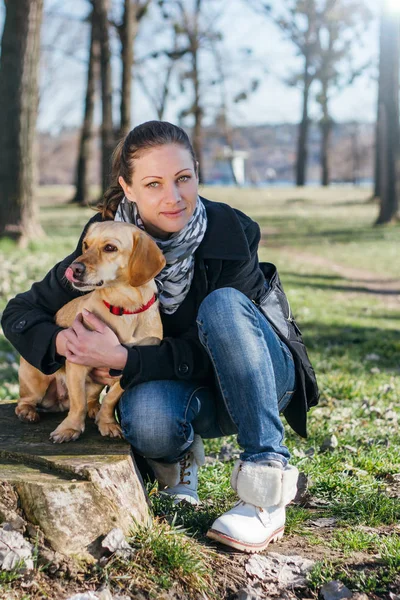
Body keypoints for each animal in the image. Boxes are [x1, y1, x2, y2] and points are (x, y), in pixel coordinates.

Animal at [15, 220, 166, 440]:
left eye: (110, 248)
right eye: (85, 245)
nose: (73, 267)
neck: (123, 306)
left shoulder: (129, 367)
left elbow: (111, 398)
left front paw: (107, 422)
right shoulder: (77, 363)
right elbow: (78, 402)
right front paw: (70, 428)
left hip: (96, 384)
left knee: (91, 399)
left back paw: (95, 409)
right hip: (36, 381)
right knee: (25, 400)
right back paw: (27, 412)